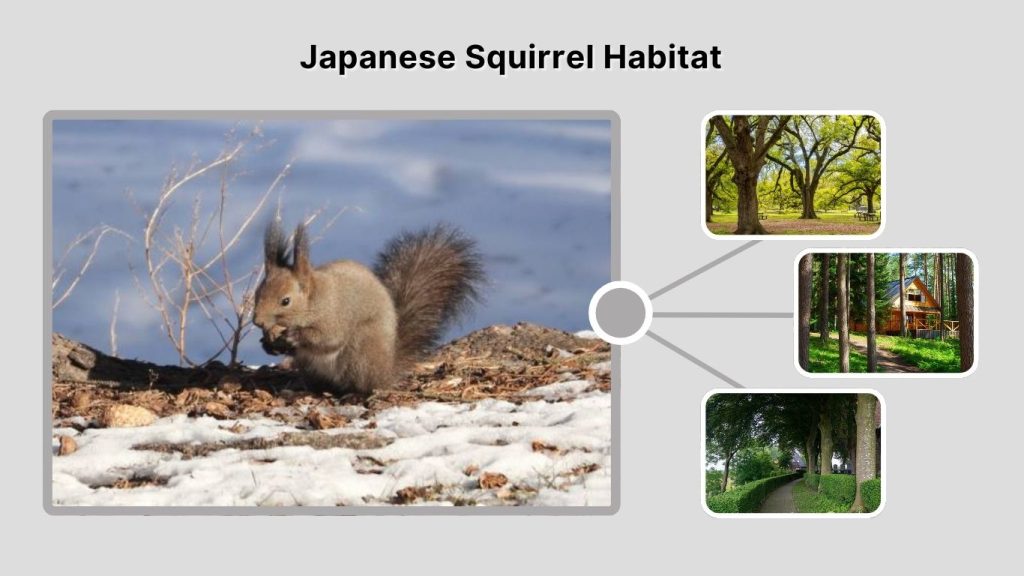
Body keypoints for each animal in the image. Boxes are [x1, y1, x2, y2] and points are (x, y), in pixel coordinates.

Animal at [252, 220, 484, 393]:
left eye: (285, 301)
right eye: (257, 293)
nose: (257, 321)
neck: (315, 300)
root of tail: (388, 370)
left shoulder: (335, 314)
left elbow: (328, 338)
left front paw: (293, 336)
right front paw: (268, 343)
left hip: (362, 348)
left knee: (364, 385)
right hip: (310, 365)